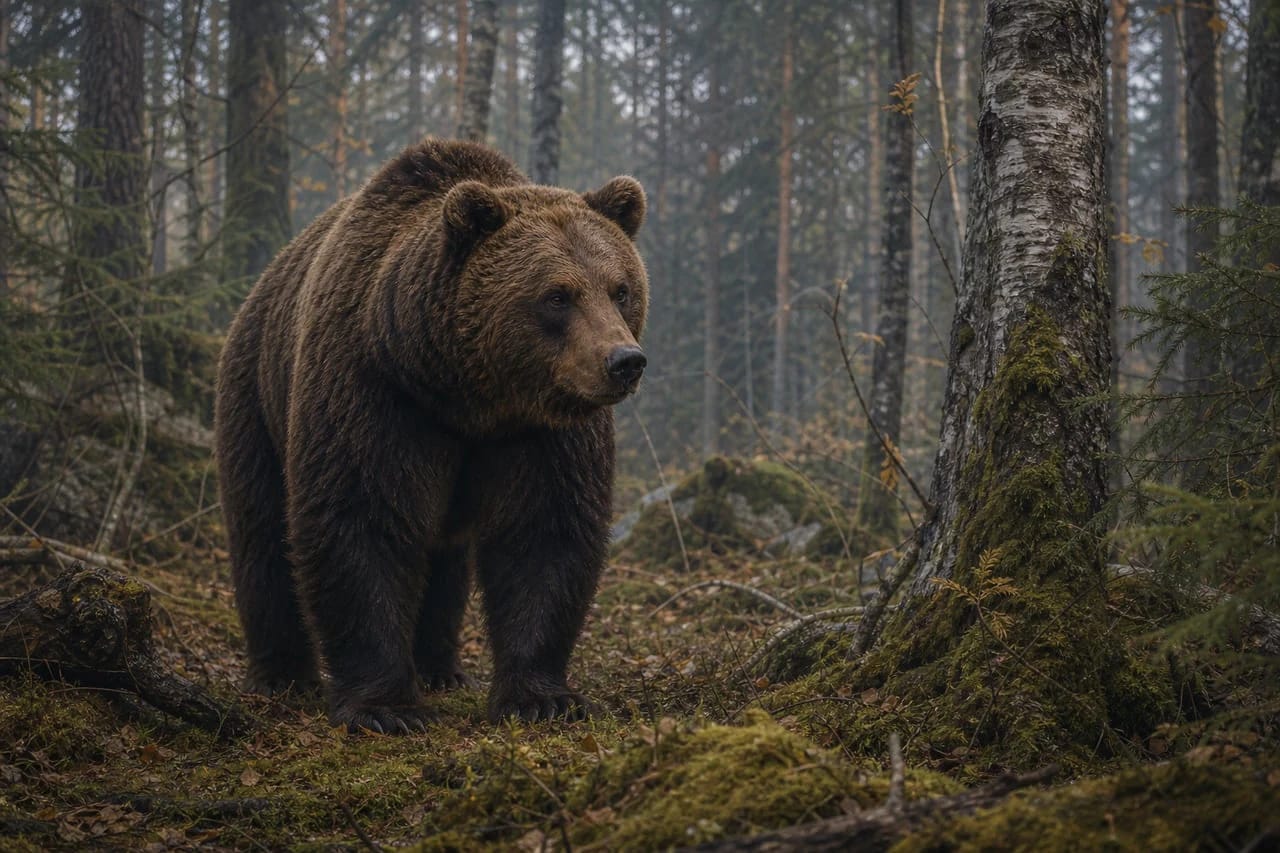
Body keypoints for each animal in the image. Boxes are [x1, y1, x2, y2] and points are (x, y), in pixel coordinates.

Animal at [214, 138, 647, 734]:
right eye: (558, 295)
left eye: (620, 288)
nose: (624, 360)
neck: (468, 396)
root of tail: (253, 293)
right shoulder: (376, 394)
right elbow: (360, 519)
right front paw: (385, 708)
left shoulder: (543, 432)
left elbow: (544, 531)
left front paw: (543, 698)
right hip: (256, 397)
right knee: (262, 535)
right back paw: (279, 673)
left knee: (446, 564)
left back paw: (442, 667)